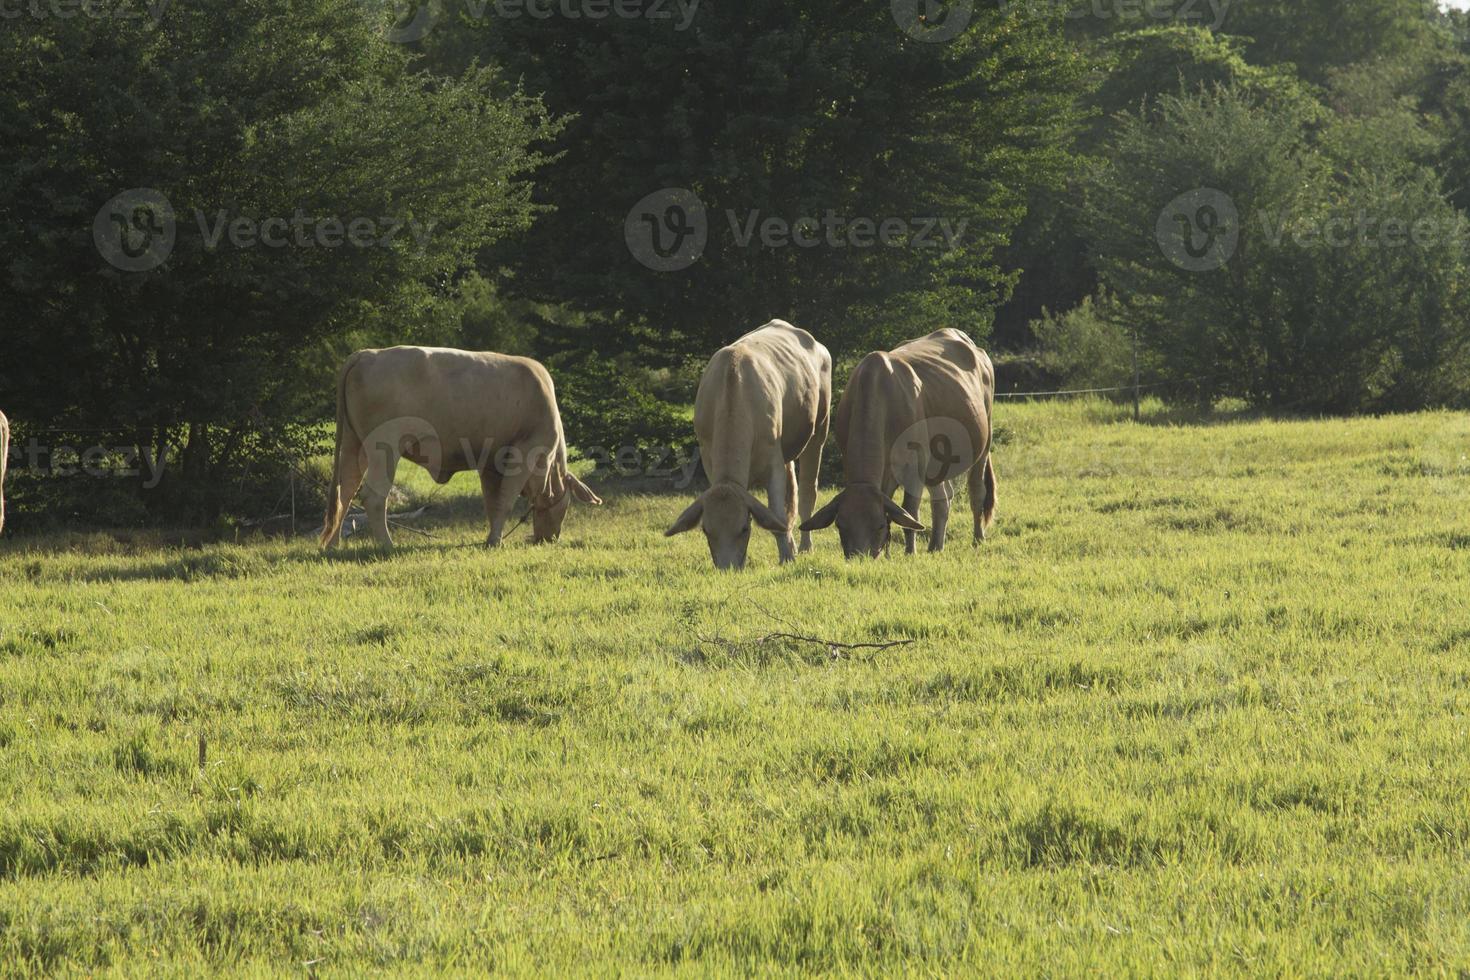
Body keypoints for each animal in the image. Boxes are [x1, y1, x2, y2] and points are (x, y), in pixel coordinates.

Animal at [318, 346, 599, 552]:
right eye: (567, 506)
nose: (550, 538)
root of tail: (366, 354)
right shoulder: (524, 454)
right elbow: (505, 501)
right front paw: (495, 541)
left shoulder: (490, 463)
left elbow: (492, 502)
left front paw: (492, 537)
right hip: (384, 447)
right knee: (373, 496)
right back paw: (388, 545)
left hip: (353, 445)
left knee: (345, 492)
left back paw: (333, 545)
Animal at [664, 318, 829, 570]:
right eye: (706, 530)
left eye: (744, 528)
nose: (728, 569)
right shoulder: (709, 458)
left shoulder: (772, 462)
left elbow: (777, 515)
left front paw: (787, 557)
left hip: (819, 429)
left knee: (807, 492)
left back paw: (804, 546)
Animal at [799, 329, 993, 558]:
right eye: (840, 525)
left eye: (879, 526)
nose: (860, 557)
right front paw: (887, 554)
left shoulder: (915, 466)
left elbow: (909, 510)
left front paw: (910, 551)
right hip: (937, 466)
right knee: (942, 500)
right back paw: (935, 545)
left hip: (984, 443)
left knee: (977, 492)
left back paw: (978, 538)